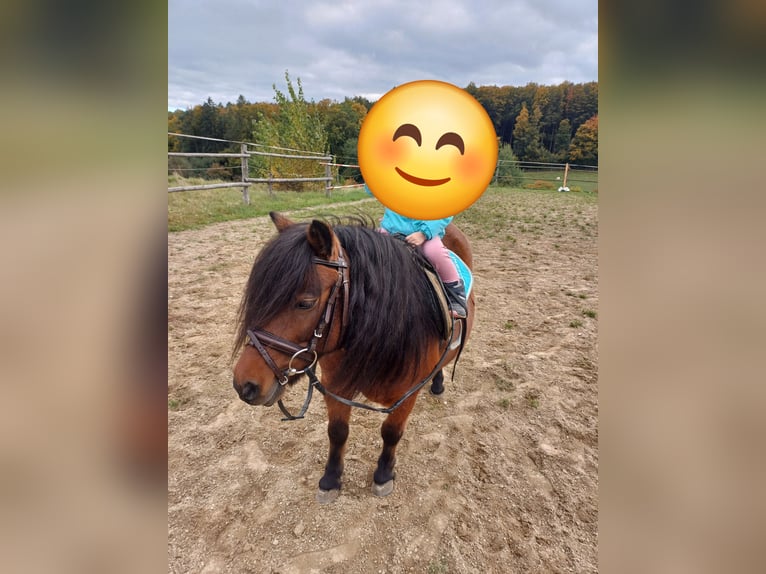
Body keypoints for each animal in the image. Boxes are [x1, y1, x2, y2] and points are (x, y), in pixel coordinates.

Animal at [232, 211, 475, 503]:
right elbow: (337, 431)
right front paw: (330, 479)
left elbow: (391, 433)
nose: (244, 384)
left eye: (306, 303)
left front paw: (383, 475)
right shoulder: (336, 387)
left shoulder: (407, 395)